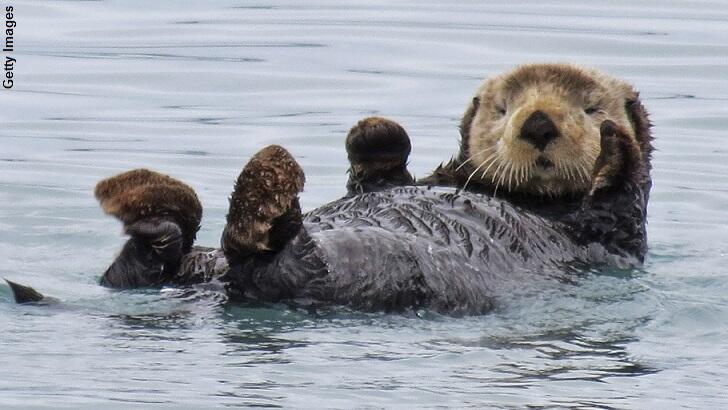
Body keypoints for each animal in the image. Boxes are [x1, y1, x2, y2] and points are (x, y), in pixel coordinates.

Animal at [7, 63, 652, 315]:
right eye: (502, 107)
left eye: (591, 107)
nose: (537, 123)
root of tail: (215, 290)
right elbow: (381, 170)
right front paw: (377, 131)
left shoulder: (610, 232)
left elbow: (621, 193)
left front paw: (615, 146)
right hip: (195, 265)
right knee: (148, 263)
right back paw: (151, 203)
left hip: (367, 268)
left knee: (275, 258)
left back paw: (262, 193)